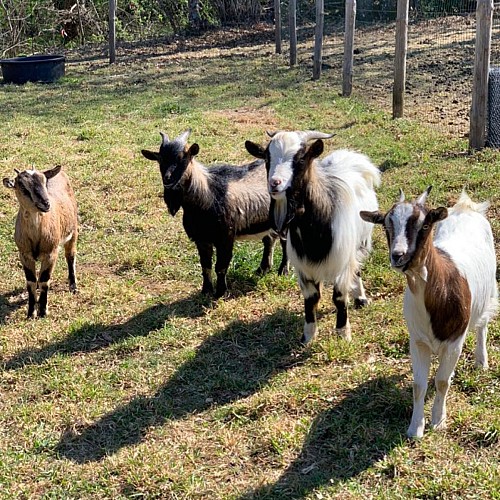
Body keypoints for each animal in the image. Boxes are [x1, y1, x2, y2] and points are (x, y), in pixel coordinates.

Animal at [2, 166, 79, 318]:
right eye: (23, 187)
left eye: (44, 182)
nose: (46, 204)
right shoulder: (24, 254)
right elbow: (31, 282)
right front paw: (31, 312)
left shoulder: (51, 253)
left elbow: (44, 280)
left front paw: (43, 311)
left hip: (73, 231)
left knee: (70, 256)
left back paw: (73, 286)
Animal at [143, 131, 288, 298]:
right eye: (160, 159)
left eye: (183, 158)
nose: (168, 180)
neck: (207, 196)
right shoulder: (201, 239)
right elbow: (205, 265)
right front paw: (206, 290)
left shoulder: (226, 237)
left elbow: (221, 266)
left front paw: (221, 292)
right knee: (269, 239)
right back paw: (262, 269)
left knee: (284, 243)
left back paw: (283, 271)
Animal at [245, 130, 378, 344]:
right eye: (267, 158)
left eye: (300, 159)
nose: (275, 183)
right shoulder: (304, 267)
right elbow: (311, 298)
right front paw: (307, 336)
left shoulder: (342, 260)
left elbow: (339, 297)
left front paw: (343, 333)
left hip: (360, 242)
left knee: (357, 268)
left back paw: (361, 298)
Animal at [362, 188, 498, 438]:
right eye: (386, 225)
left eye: (424, 225)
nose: (398, 255)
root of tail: (465, 207)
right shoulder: (417, 341)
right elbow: (419, 385)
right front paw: (415, 428)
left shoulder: (454, 342)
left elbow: (442, 382)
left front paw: (438, 420)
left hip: (490, 289)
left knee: (482, 324)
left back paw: (481, 361)